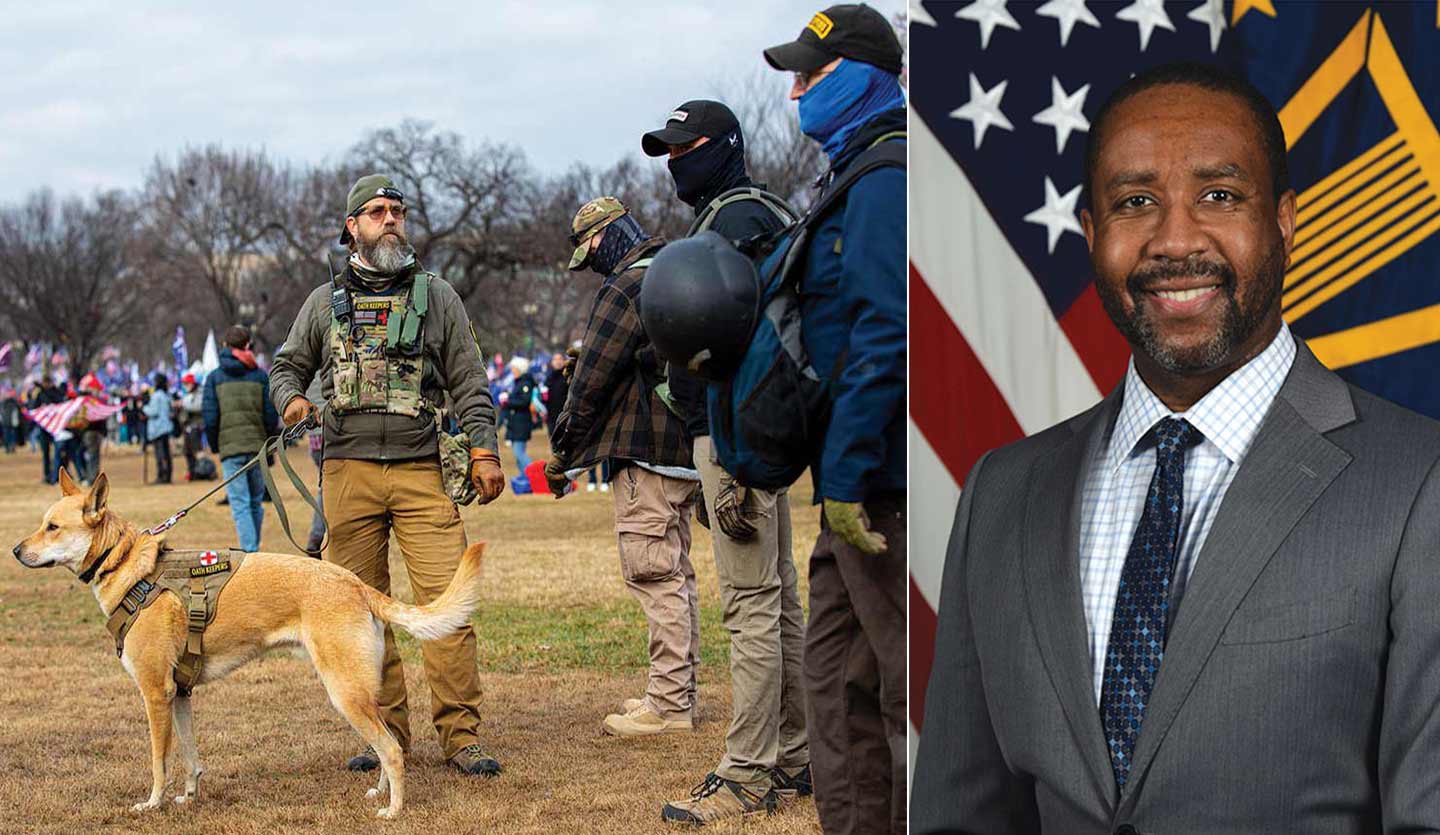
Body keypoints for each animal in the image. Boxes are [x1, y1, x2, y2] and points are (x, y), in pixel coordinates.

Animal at [11, 469, 486, 823]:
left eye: (52, 527)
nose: (15, 551)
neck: (129, 567)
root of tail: (354, 583)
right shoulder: (179, 694)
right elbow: (190, 756)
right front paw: (188, 798)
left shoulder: (155, 694)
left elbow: (159, 761)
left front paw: (153, 803)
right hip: (362, 694)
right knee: (391, 744)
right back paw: (379, 793)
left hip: (345, 694)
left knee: (390, 750)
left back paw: (394, 810)